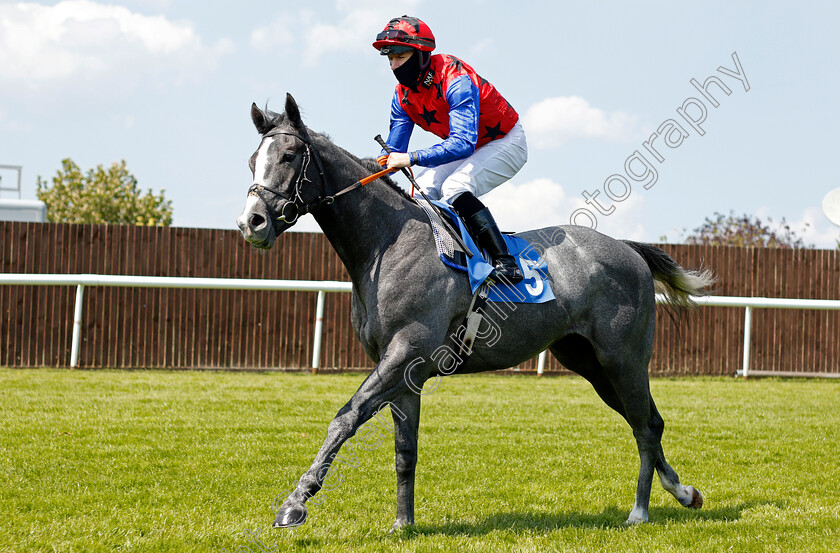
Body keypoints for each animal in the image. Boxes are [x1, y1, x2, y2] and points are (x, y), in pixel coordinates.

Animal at [236, 95, 716, 532]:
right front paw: (403, 524)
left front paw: (295, 503)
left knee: (645, 427)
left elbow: (345, 419)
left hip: (623, 359)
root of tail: (628, 249)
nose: (251, 222)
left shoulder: (405, 352)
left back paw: (639, 511)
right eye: (252, 161)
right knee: (648, 421)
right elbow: (404, 450)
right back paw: (684, 492)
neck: (386, 243)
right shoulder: (403, 371)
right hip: (589, 363)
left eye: (289, 156)